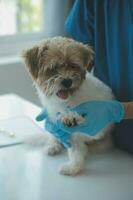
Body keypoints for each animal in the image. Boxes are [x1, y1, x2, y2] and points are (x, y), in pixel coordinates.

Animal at [22, 36, 113, 176]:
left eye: (73, 66)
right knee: (53, 136)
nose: (67, 81)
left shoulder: (105, 99)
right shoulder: (66, 131)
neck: (69, 101)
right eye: (53, 68)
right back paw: (53, 145)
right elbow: (75, 150)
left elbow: (98, 123)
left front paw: (75, 117)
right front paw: (74, 167)